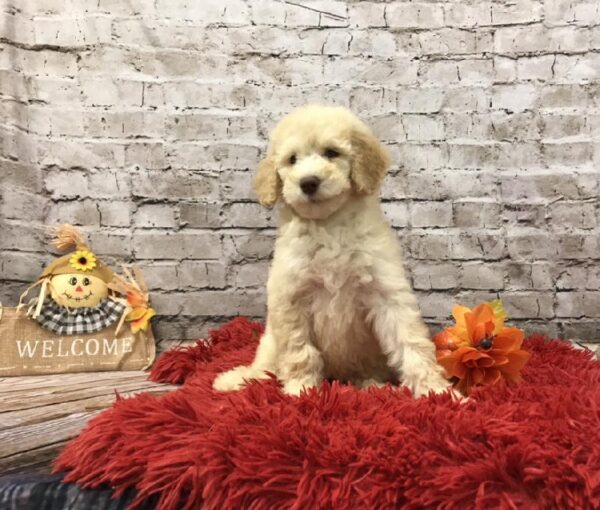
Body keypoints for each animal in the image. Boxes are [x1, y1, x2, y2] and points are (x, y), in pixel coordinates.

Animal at [212, 104, 450, 398]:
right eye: (292, 159)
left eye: (331, 153)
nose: (308, 182)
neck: (328, 224)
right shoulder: (291, 297)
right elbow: (299, 350)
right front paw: (301, 391)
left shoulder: (386, 291)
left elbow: (410, 341)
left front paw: (437, 392)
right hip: (270, 341)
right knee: (265, 366)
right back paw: (237, 379)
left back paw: (372, 385)